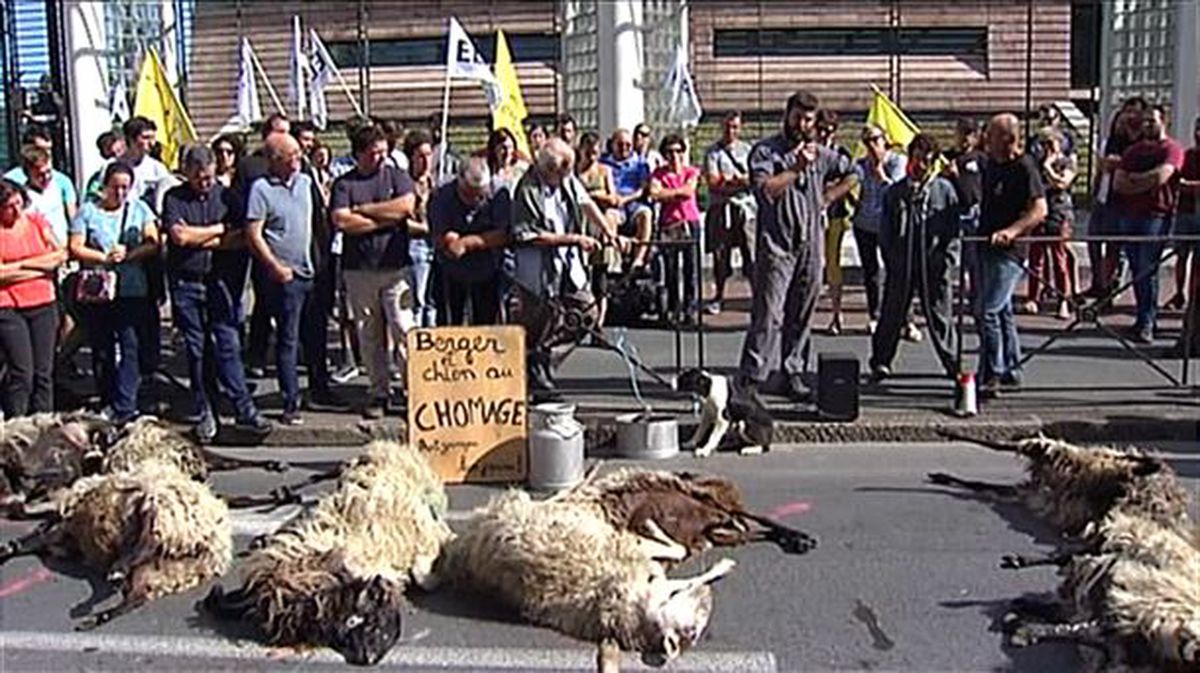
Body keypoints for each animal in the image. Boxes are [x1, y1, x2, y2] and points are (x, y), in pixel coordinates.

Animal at [0, 455, 232, 628]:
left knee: (149, 538)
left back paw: (116, 573)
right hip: (169, 569)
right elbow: (30, 539)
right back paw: (97, 613)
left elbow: (31, 537)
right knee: (137, 596)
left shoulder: (61, 525)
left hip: (160, 507)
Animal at [432, 487, 729, 671]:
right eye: (694, 628)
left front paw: (720, 566)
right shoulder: (632, 556)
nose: (708, 598)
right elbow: (676, 554)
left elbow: (678, 564)